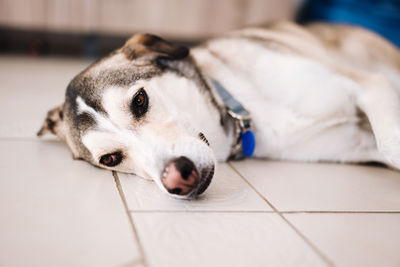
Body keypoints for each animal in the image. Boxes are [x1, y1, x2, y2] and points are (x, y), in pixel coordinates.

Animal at [39, 21, 400, 199]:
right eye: (111, 159)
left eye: (139, 100)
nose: (178, 179)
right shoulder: (358, 142)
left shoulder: (370, 85)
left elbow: (390, 143)